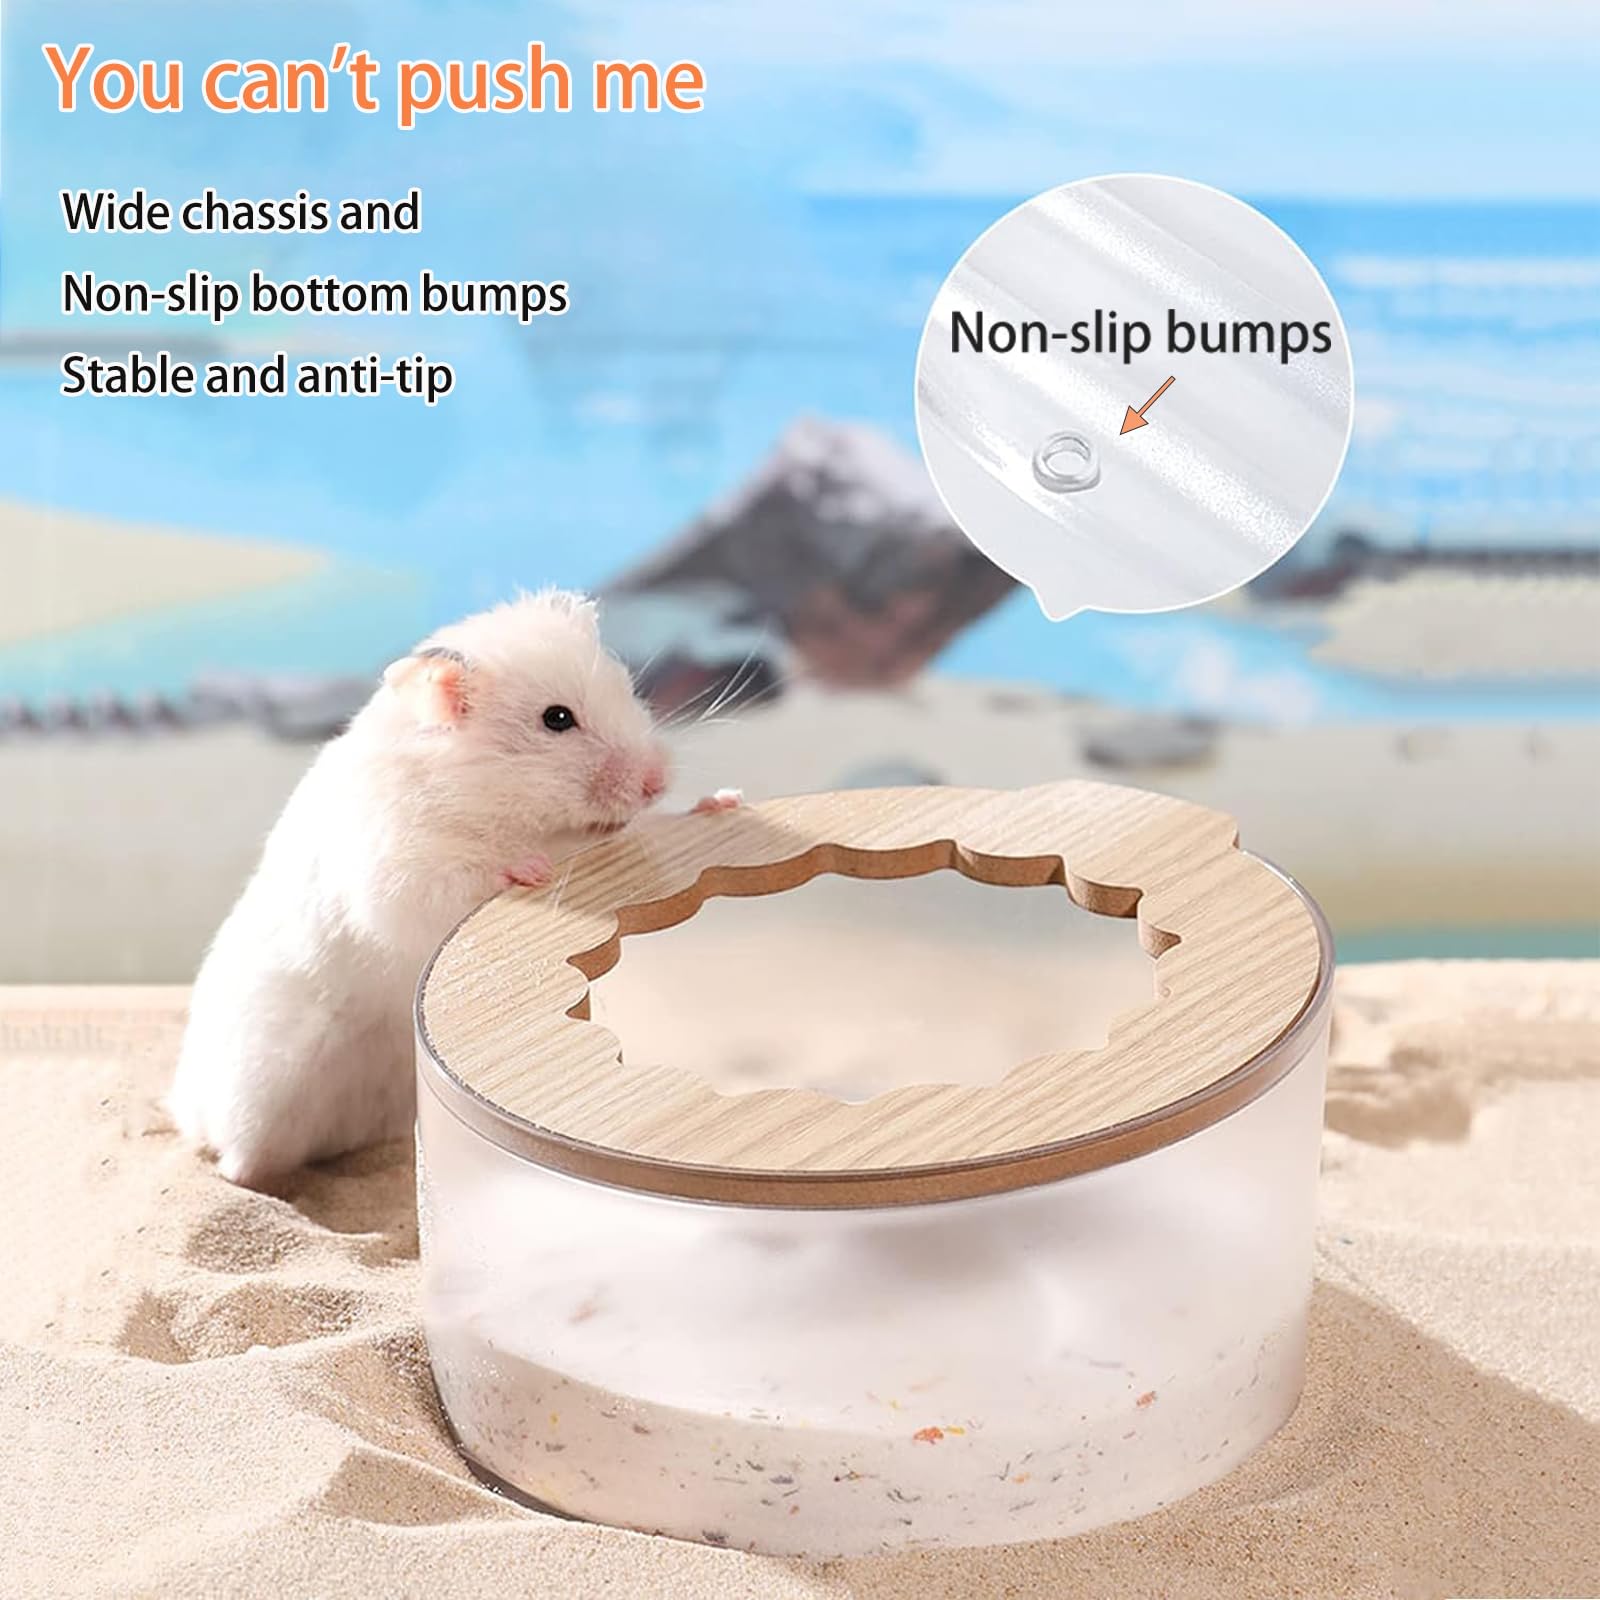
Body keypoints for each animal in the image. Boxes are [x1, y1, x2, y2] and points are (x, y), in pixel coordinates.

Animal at [169, 589, 721, 1188]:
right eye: (557, 719)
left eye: (628, 688)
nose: (657, 781)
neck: (480, 790)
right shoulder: (399, 873)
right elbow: (466, 876)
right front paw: (530, 869)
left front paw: (716, 802)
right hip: (262, 1091)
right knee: (233, 1160)